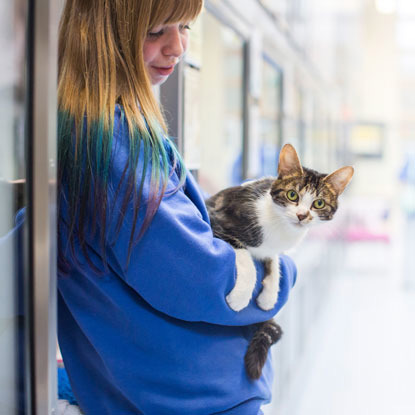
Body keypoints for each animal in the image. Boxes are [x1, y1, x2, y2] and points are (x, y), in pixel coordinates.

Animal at [206, 143, 354, 380]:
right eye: (292, 195)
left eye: (319, 203)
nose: (302, 215)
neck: (279, 226)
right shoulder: (217, 220)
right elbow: (245, 256)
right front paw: (240, 297)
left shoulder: (271, 249)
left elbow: (273, 260)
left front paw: (270, 295)